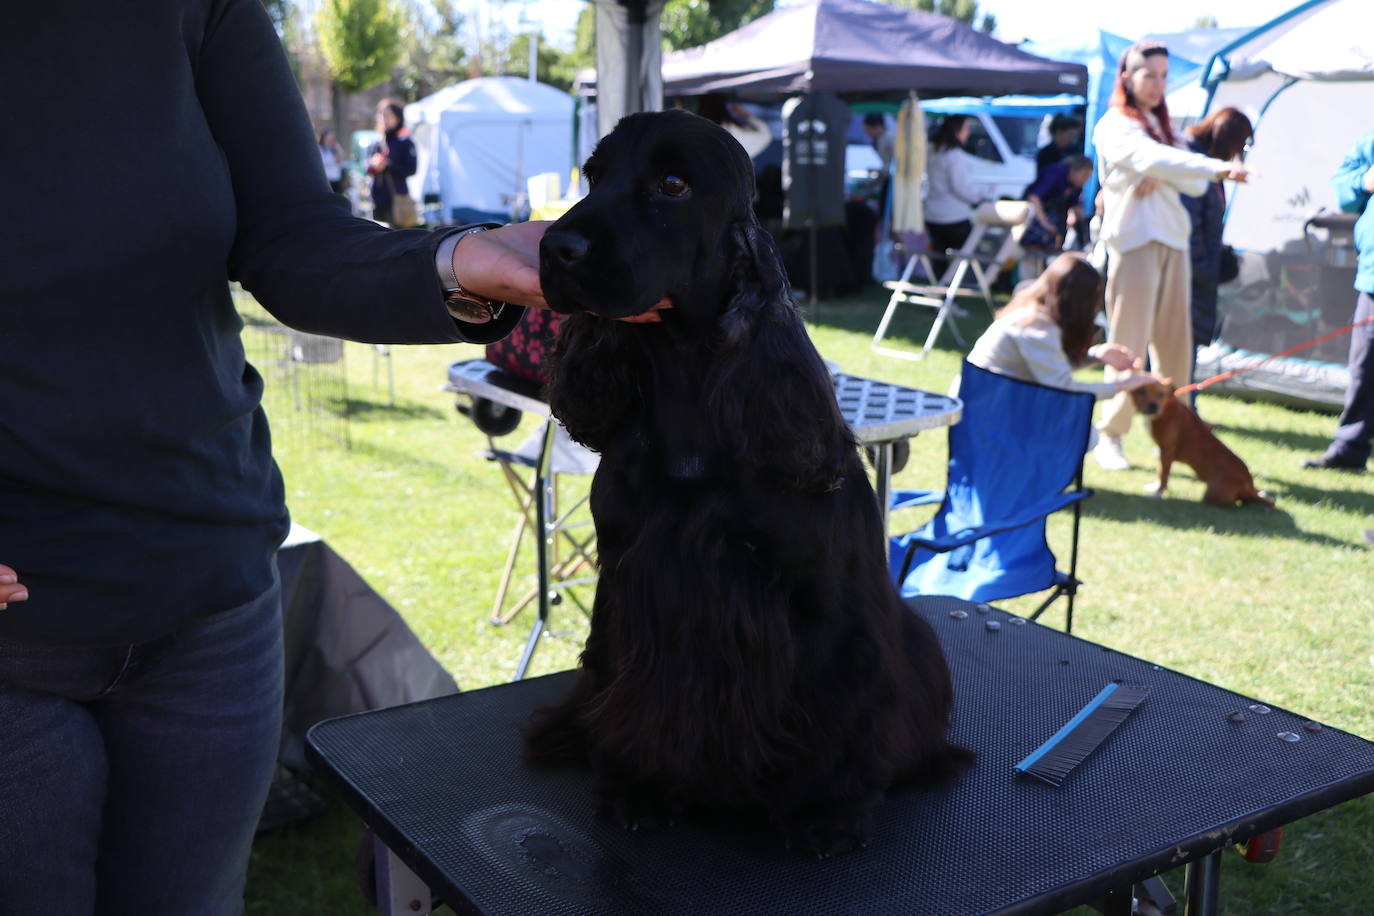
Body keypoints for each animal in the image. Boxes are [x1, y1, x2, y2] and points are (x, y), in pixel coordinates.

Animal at [1126, 379, 1275, 508]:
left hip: (1213, 494)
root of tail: (1249, 485)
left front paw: (1158, 493)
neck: (1168, 407)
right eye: (1142, 391)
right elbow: (1160, 471)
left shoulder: (1166, 451)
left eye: (1160, 394)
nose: (1153, 405)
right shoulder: (1162, 452)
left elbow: (1163, 474)